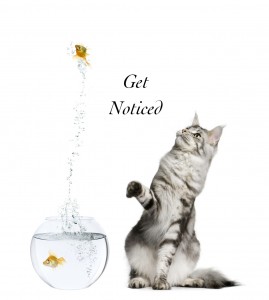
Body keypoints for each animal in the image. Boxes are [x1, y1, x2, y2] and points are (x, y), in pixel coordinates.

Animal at [124, 112, 237, 288]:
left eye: (197, 135)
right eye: (187, 127)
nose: (183, 130)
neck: (183, 162)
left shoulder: (178, 220)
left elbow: (165, 256)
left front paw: (161, 281)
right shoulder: (157, 205)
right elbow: (145, 194)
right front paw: (133, 187)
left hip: (194, 249)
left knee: (177, 279)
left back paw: (193, 281)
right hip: (132, 244)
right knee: (137, 272)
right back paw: (139, 280)